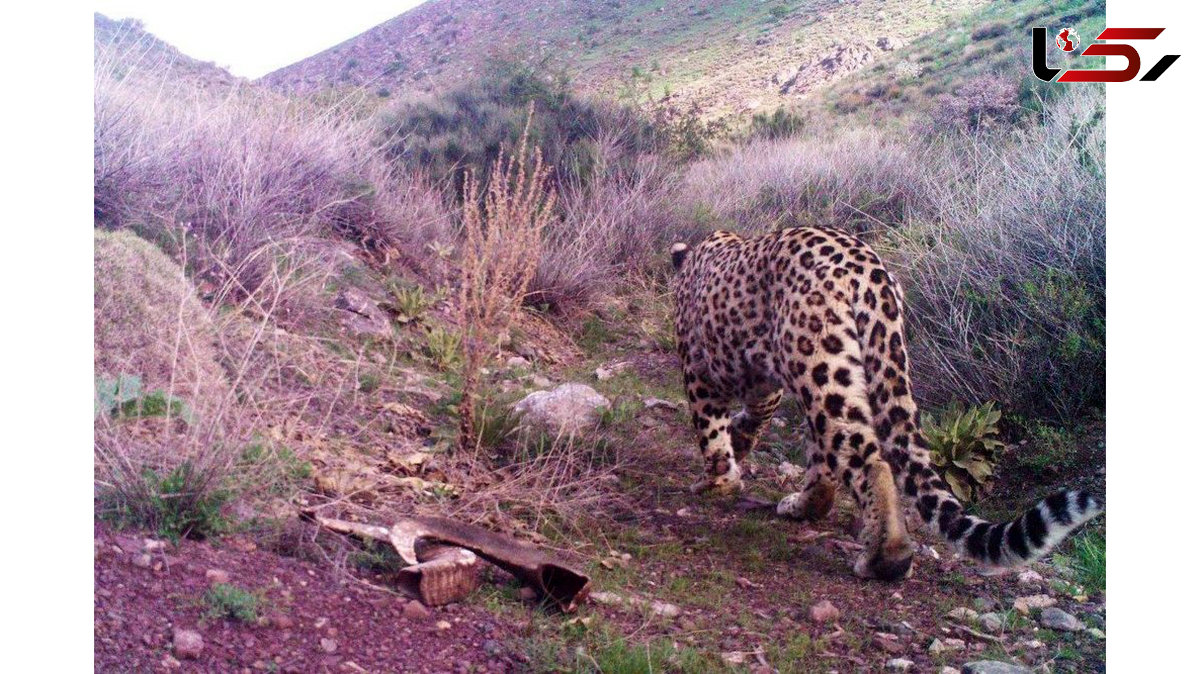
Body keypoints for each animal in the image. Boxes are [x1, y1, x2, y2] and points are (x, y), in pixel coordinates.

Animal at [672, 225, 1099, 578]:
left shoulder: (698, 371)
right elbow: (749, 421)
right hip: (837, 370)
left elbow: (710, 430)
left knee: (867, 458)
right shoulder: (764, 384)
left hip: (821, 367)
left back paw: (884, 558)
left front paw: (716, 482)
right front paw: (737, 451)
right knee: (830, 455)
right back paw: (805, 507)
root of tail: (868, 267)